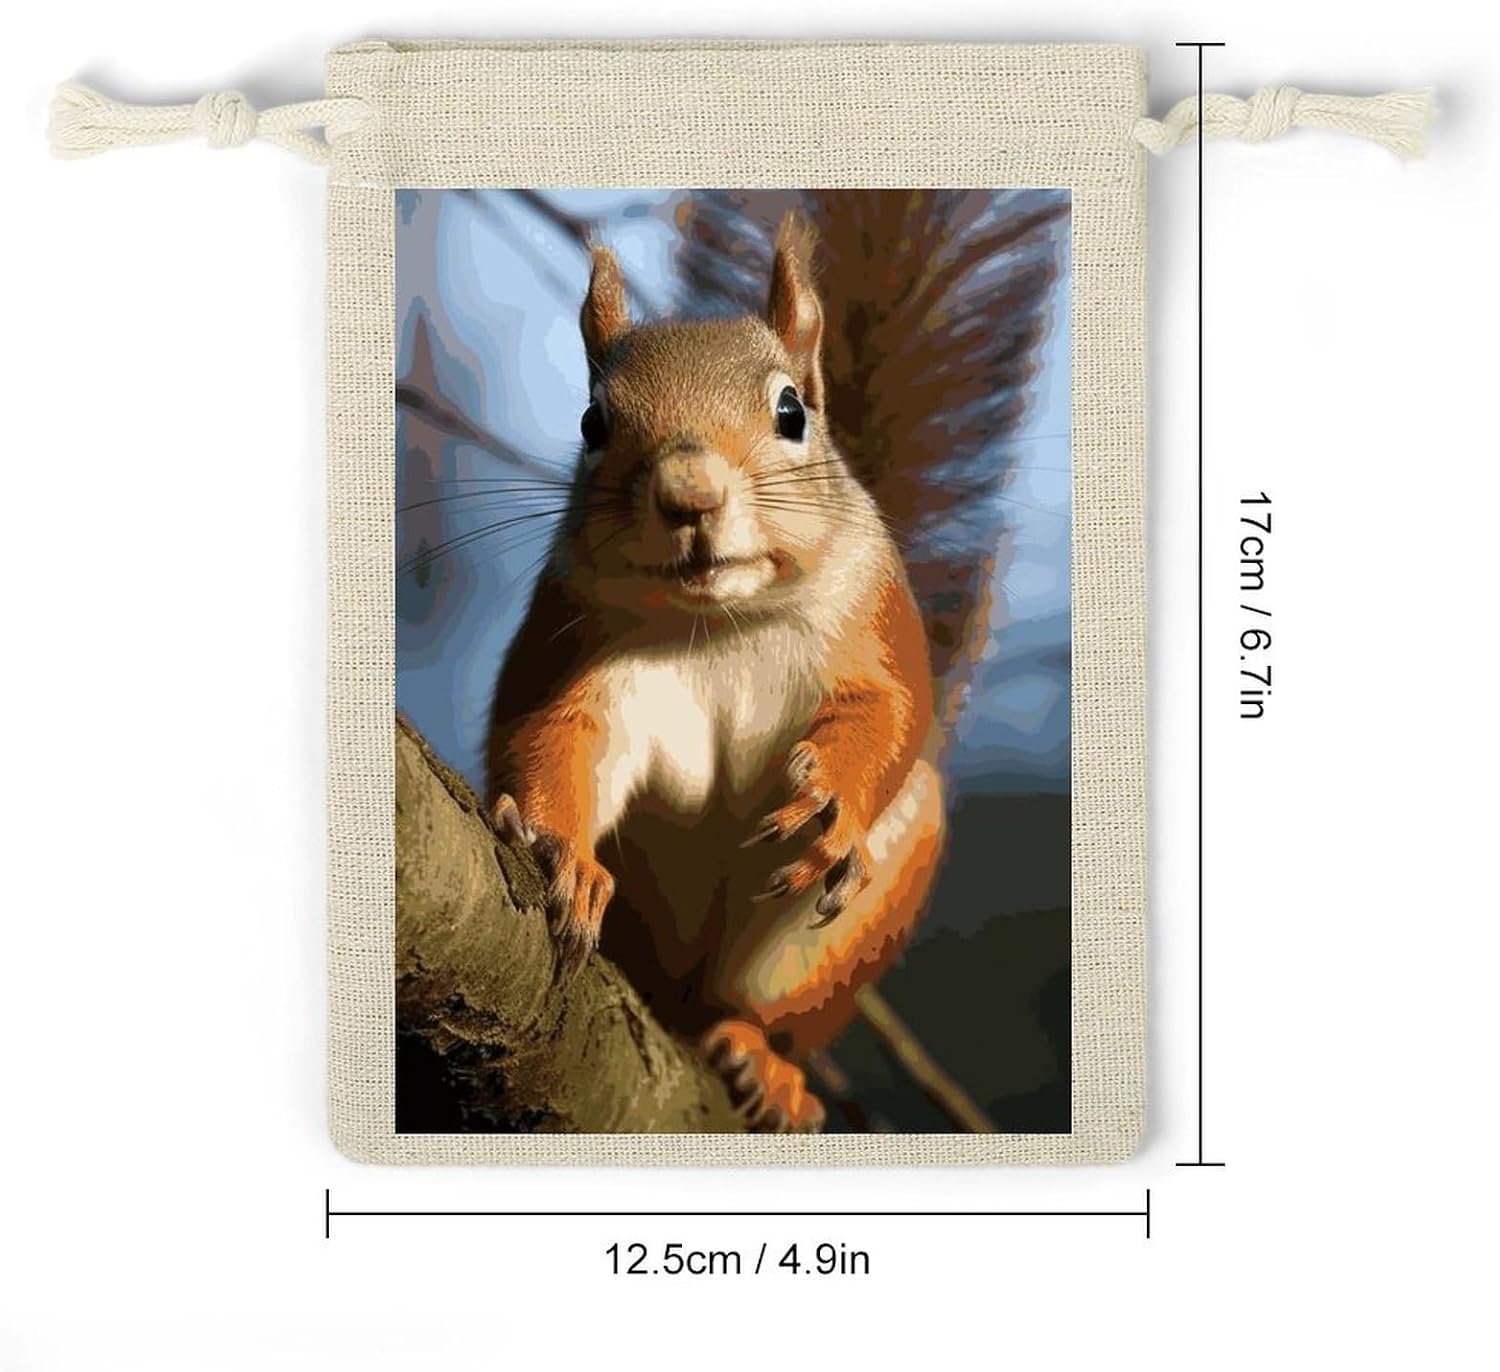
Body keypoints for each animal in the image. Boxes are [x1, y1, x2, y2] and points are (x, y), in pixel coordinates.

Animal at [485, 193, 1064, 1133]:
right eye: (591, 423)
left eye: (792, 413)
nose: (689, 494)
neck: (721, 621)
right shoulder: (577, 648)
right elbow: (556, 736)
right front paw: (563, 855)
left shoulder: (874, 622)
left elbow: (891, 711)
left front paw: (832, 791)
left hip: (831, 937)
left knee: (754, 1004)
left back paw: (763, 1060)